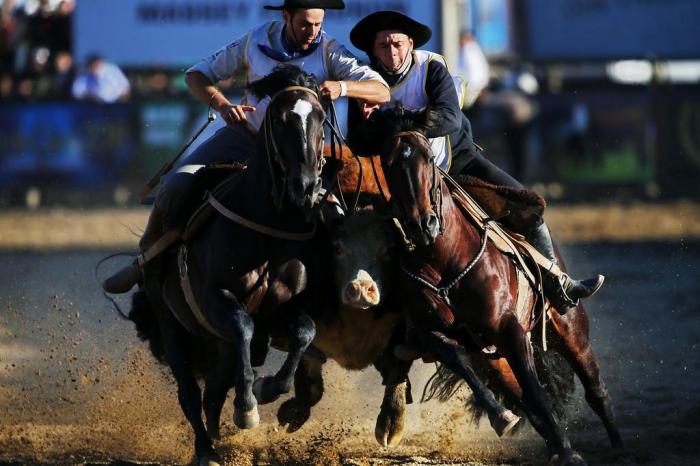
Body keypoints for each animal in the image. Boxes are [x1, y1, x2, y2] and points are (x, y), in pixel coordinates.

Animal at [131, 66, 326, 466]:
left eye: (320, 117)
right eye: (280, 119)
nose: (305, 186)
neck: (265, 229)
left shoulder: (287, 307)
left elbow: (304, 332)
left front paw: (268, 388)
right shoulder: (216, 299)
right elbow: (243, 326)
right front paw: (248, 407)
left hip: (215, 344)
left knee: (213, 394)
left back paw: (218, 441)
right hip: (171, 323)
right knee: (190, 393)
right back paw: (205, 449)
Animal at [360, 110, 624, 466]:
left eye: (428, 157)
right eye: (387, 164)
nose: (423, 225)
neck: (446, 262)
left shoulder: (510, 330)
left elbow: (536, 391)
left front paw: (570, 453)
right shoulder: (433, 333)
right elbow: (461, 358)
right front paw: (503, 419)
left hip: (570, 330)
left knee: (595, 391)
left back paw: (618, 447)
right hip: (495, 359)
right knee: (521, 397)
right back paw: (551, 442)